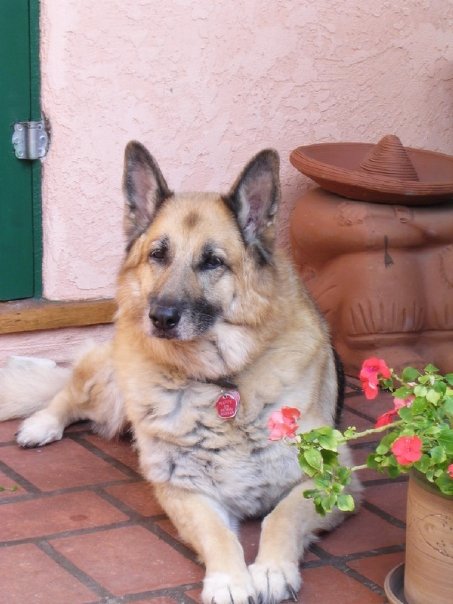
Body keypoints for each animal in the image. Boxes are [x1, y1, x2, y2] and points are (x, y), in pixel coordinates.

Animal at [0, 142, 360, 604]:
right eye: (158, 255)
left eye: (212, 262)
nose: (161, 318)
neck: (222, 381)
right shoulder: (183, 488)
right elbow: (218, 536)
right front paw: (229, 580)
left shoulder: (334, 479)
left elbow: (282, 516)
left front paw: (270, 569)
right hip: (110, 383)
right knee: (70, 390)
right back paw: (41, 424)